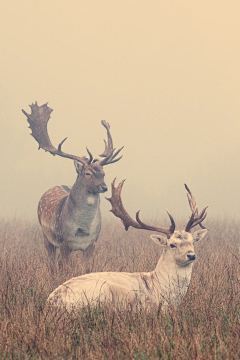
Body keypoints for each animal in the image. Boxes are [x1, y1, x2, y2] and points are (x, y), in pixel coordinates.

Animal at [22, 101, 124, 270]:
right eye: (88, 173)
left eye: (103, 172)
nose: (104, 187)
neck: (82, 230)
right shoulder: (64, 242)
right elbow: (66, 269)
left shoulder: (92, 243)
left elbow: (85, 269)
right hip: (46, 236)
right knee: (52, 264)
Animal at [47, 180, 208, 312]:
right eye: (172, 244)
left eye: (193, 241)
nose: (191, 255)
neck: (161, 289)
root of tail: (52, 301)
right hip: (101, 293)